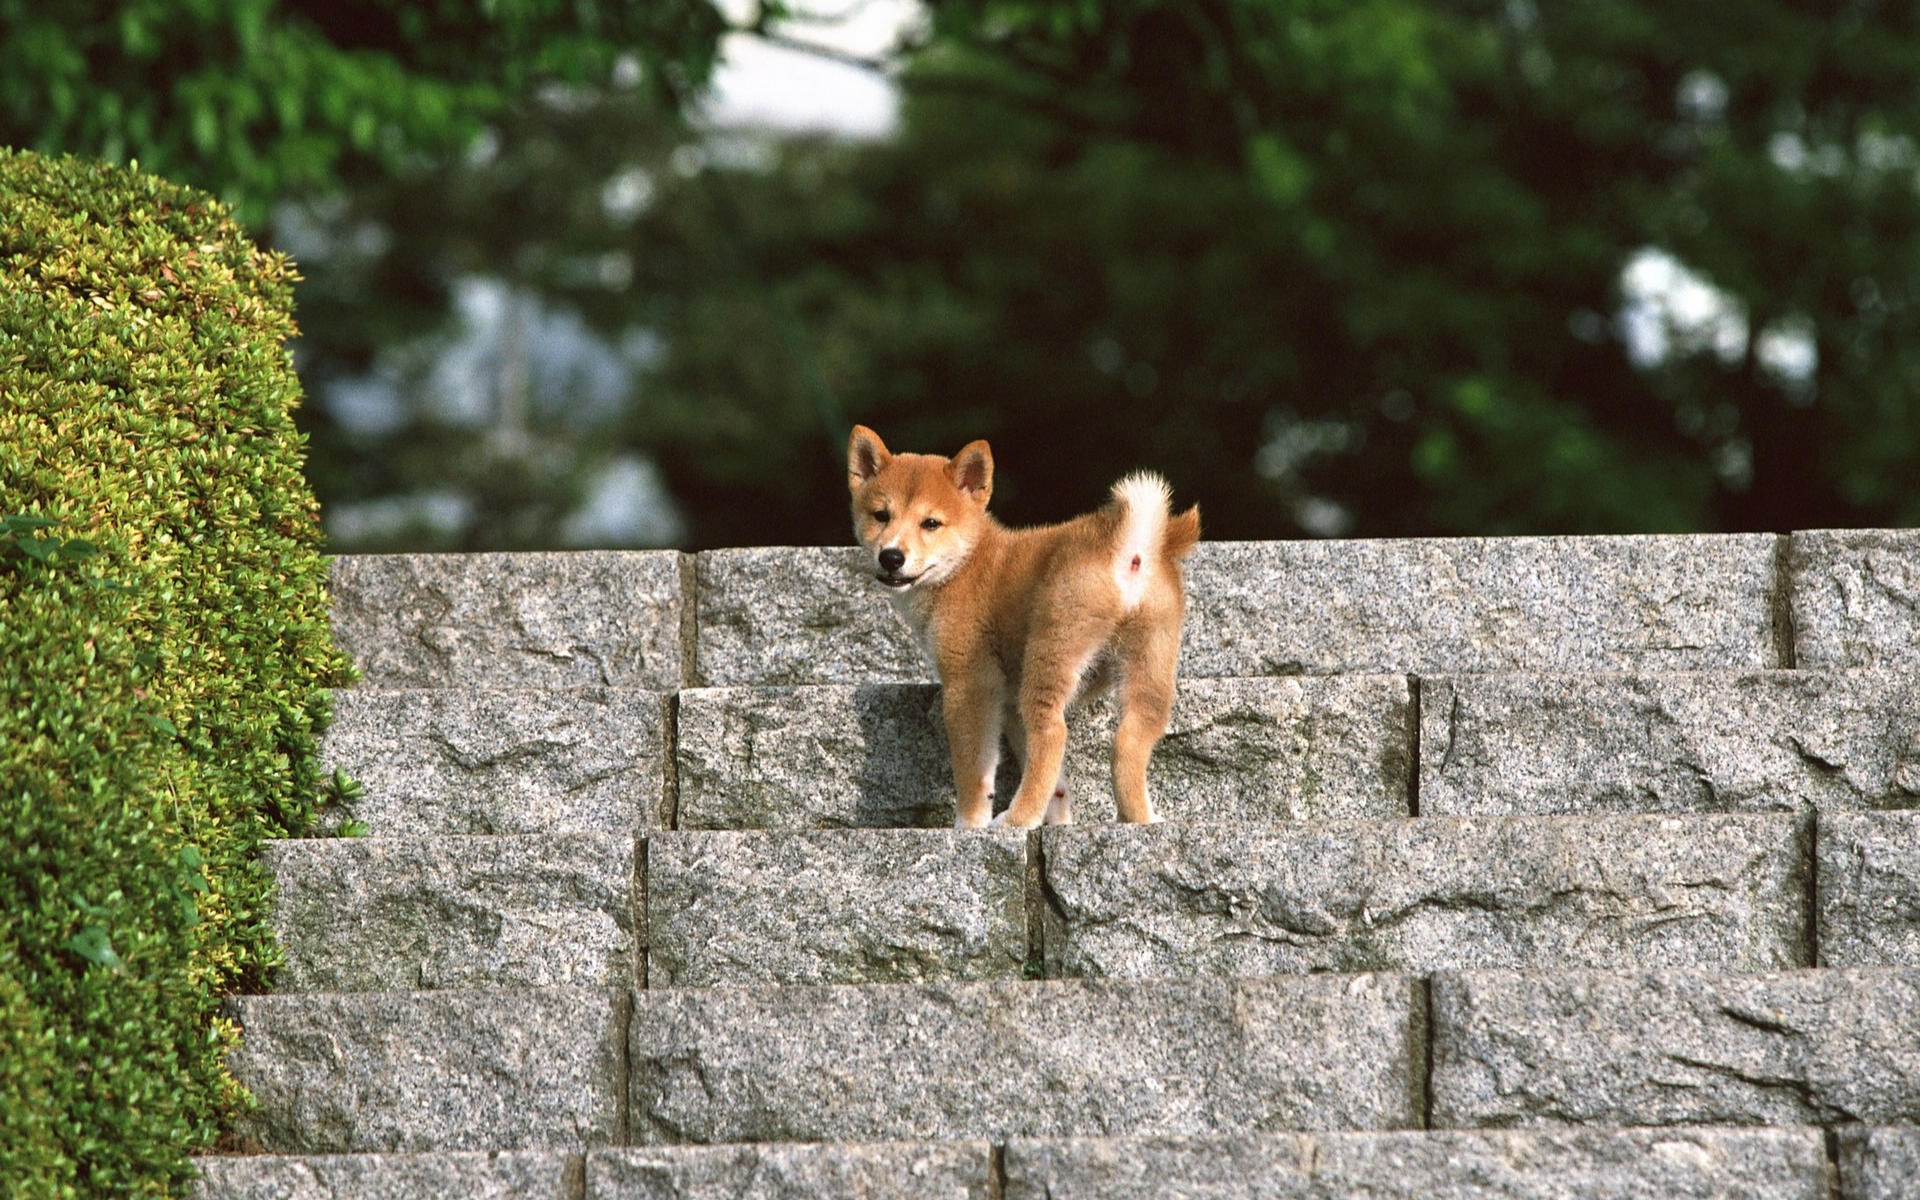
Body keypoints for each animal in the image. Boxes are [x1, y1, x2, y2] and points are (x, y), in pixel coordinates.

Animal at [844, 426, 1190, 829]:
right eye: (881, 516)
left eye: (930, 523)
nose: (891, 557)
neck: (966, 565)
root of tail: (1128, 549)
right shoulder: (1009, 703)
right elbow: (1051, 778)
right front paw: (1056, 817)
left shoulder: (970, 683)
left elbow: (975, 771)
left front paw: (969, 824)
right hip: (1149, 663)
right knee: (1129, 740)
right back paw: (1140, 818)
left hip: (1051, 651)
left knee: (1053, 734)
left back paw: (1017, 819)